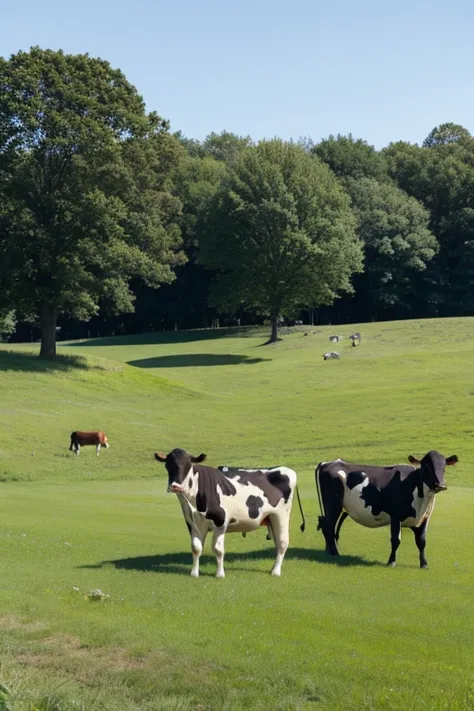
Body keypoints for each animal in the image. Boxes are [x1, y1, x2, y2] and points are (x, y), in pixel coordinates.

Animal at [157, 450, 302, 580]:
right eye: (167, 465)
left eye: (188, 464)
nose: (175, 486)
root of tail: (285, 469)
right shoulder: (193, 523)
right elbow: (196, 548)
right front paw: (194, 573)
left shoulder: (221, 521)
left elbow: (218, 549)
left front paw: (220, 574)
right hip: (271, 518)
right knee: (277, 542)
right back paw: (273, 568)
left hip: (281, 516)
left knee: (282, 543)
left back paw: (276, 571)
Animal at [316, 454, 458, 572]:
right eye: (427, 466)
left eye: (444, 466)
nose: (440, 484)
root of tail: (328, 462)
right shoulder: (395, 516)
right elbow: (395, 540)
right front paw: (391, 562)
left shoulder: (424, 518)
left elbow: (422, 542)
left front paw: (424, 564)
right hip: (332, 505)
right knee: (329, 526)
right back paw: (334, 553)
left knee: (327, 526)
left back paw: (329, 551)